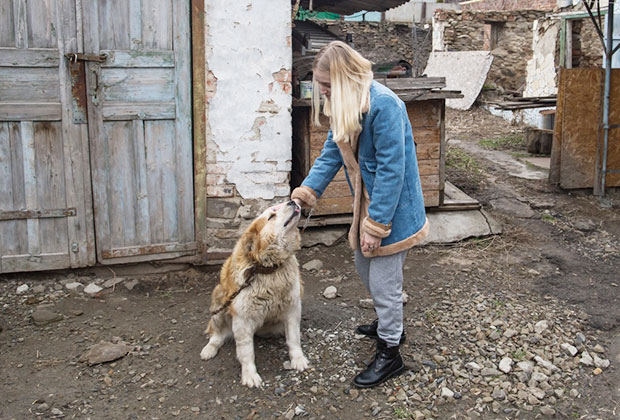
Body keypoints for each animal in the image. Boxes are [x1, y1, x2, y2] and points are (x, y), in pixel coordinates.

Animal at [200, 200, 308, 388]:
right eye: (271, 215)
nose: (292, 201)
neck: (269, 269)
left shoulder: (293, 309)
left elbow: (294, 339)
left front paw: (298, 359)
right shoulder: (242, 320)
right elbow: (246, 351)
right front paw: (250, 374)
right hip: (218, 302)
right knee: (217, 335)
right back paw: (209, 349)